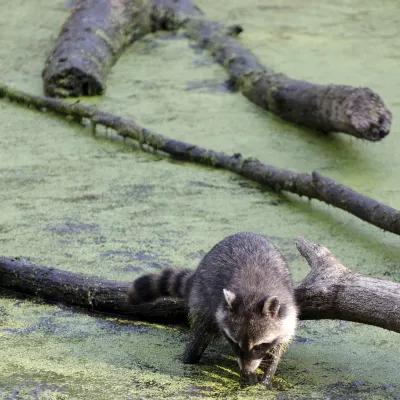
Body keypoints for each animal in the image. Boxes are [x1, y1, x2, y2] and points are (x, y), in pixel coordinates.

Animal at [126, 233, 298, 386]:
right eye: (235, 343)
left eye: (258, 346)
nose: (246, 371)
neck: (253, 293)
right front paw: (251, 376)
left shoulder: (287, 314)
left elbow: (278, 348)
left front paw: (267, 374)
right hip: (202, 297)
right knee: (200, 335)